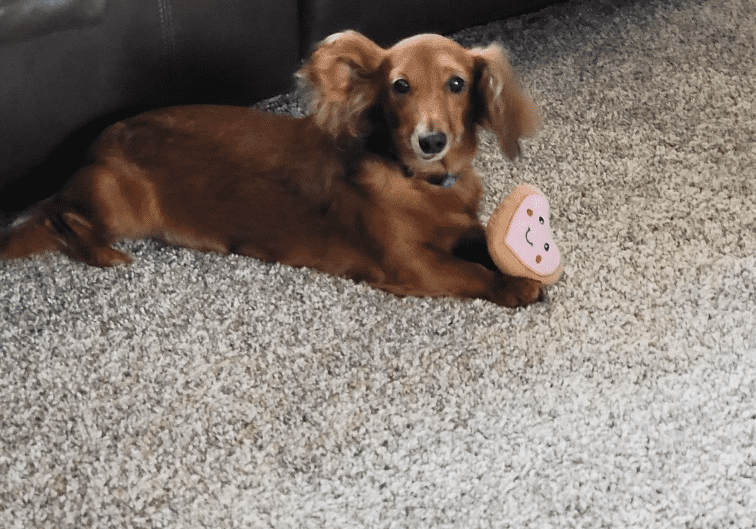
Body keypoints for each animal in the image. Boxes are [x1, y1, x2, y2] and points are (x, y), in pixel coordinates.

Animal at [0, 29, 548, 306]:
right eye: (400, 86)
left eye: (457, 84)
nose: (431, 141)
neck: (421, 182)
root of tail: (94, 145)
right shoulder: (409, 263)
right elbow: (469, 273)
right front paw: (516, 285)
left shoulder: (459, 226)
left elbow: (482, 241)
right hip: (118, 203)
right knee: (59, 217)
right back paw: (103, 253)